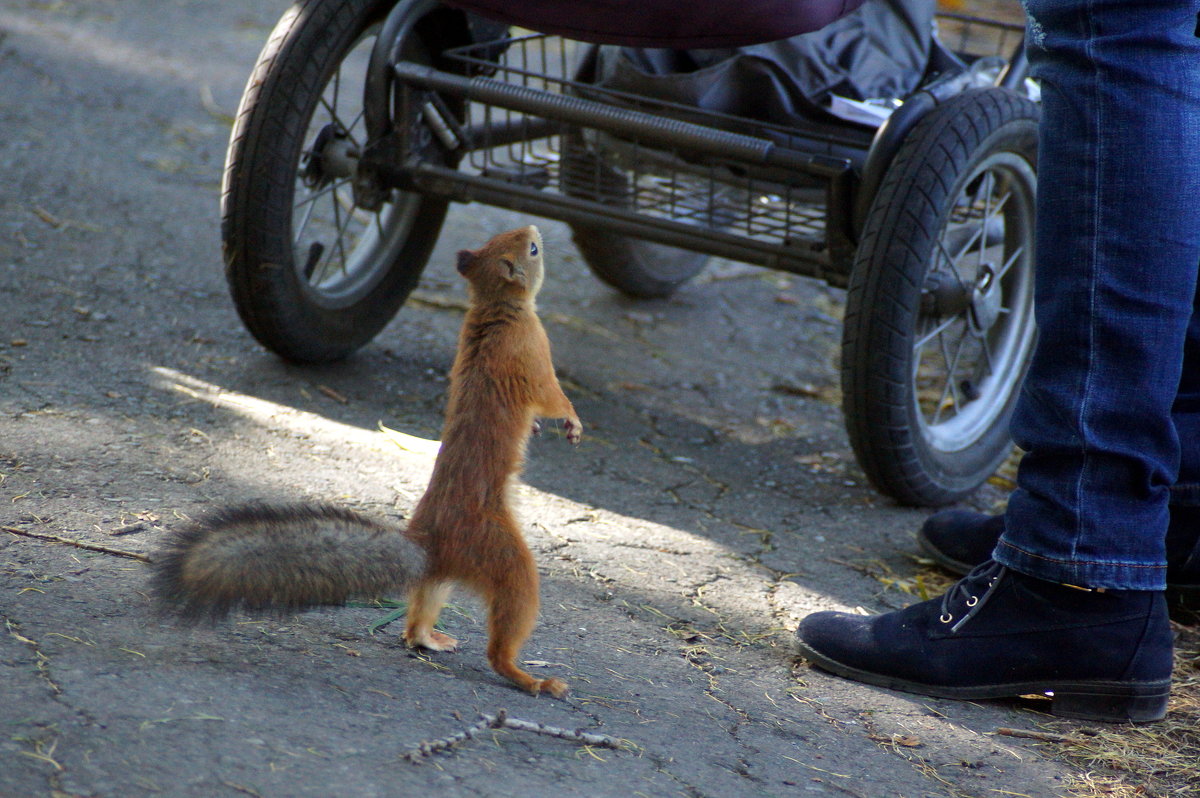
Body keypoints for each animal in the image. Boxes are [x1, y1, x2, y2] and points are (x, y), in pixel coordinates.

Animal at [152, 225, 583, 696]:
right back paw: (531, 679)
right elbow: (552, 397)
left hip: (443, 578)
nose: (533, 230)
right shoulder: (532, 353)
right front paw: (571, 422)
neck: (496, 309)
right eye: (532, 249)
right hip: (504, 558)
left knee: (419, 612)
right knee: (503, 634)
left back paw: (428, 638)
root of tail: (431, 542)